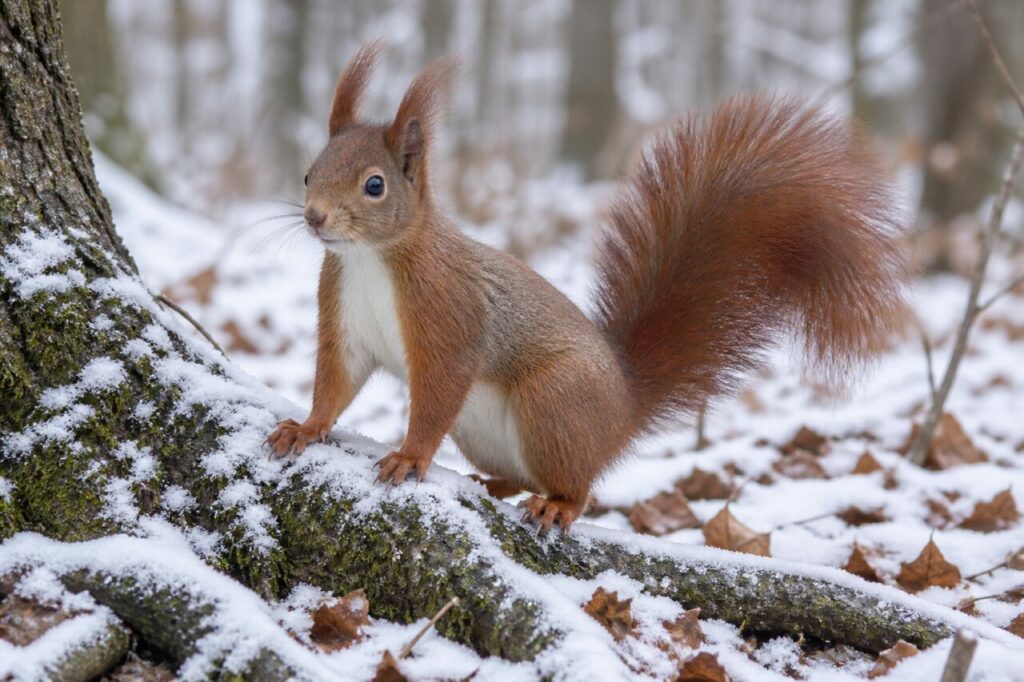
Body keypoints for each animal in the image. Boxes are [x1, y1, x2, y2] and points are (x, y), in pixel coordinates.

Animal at [267, 41, 909, 532]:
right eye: (308, 173)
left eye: (374, 185)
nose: (315, 218)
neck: (370, 260)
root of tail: (622, 409)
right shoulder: (344, 316)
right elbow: (336, 381)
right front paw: (307, 427)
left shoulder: (450, 316)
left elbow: (437, 396)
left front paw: (409, 457)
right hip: (491, 431)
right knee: (524, 473)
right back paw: (495, 484)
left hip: (555, 400)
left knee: (580, 487)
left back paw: (556, 506)